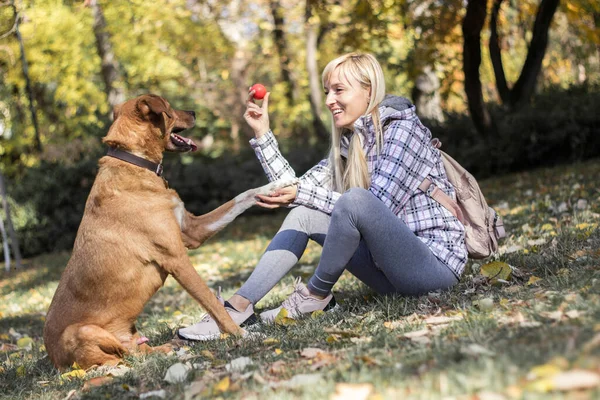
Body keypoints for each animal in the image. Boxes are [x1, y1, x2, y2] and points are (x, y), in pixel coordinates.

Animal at [43, 95, 294, 370]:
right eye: (168, 107)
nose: (194, 111)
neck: (136, 164)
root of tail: (53, 360)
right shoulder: (177, 259)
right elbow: (213, 303)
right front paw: (244, 335)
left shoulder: (192, 231)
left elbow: (242, 197)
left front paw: (278, 184)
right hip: (83, 332)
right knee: (120, 359)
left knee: (138, 351)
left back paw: (170, 349)